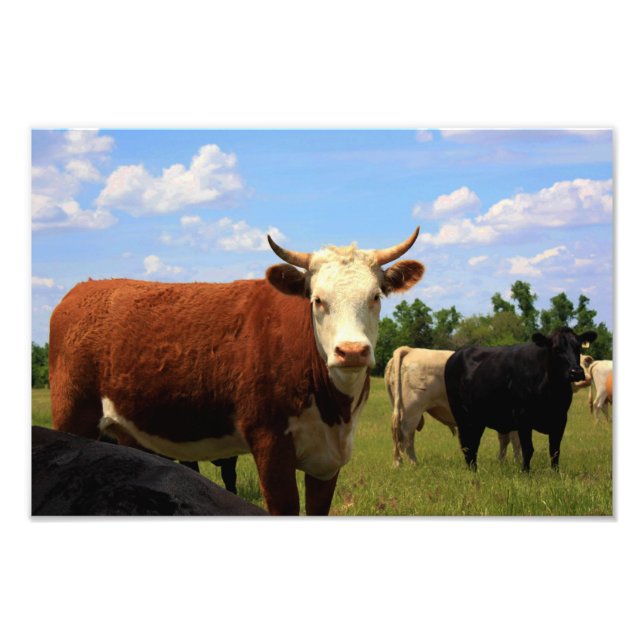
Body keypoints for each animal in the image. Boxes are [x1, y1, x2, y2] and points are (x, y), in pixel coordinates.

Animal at [49, 229, 425, 515]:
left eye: (375, 297)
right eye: (318, 299)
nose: (351, 351)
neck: (334, 409)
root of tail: (82, 290)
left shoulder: (327, 461)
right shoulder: (270, 444)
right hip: (73, 415)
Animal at [444, 327, 597, 472]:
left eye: (578, 347)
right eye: (557, 349)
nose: (577, 372)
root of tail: (457, 354)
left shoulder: (560, 418)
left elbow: (555, 451)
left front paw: (555, 473)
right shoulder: (523, 417)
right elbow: (528, 449)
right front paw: (525, 472)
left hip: (477, 418)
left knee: (473, 443)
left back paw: (474, 469)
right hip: (461, 414)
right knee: (467, 444)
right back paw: (472, 470)